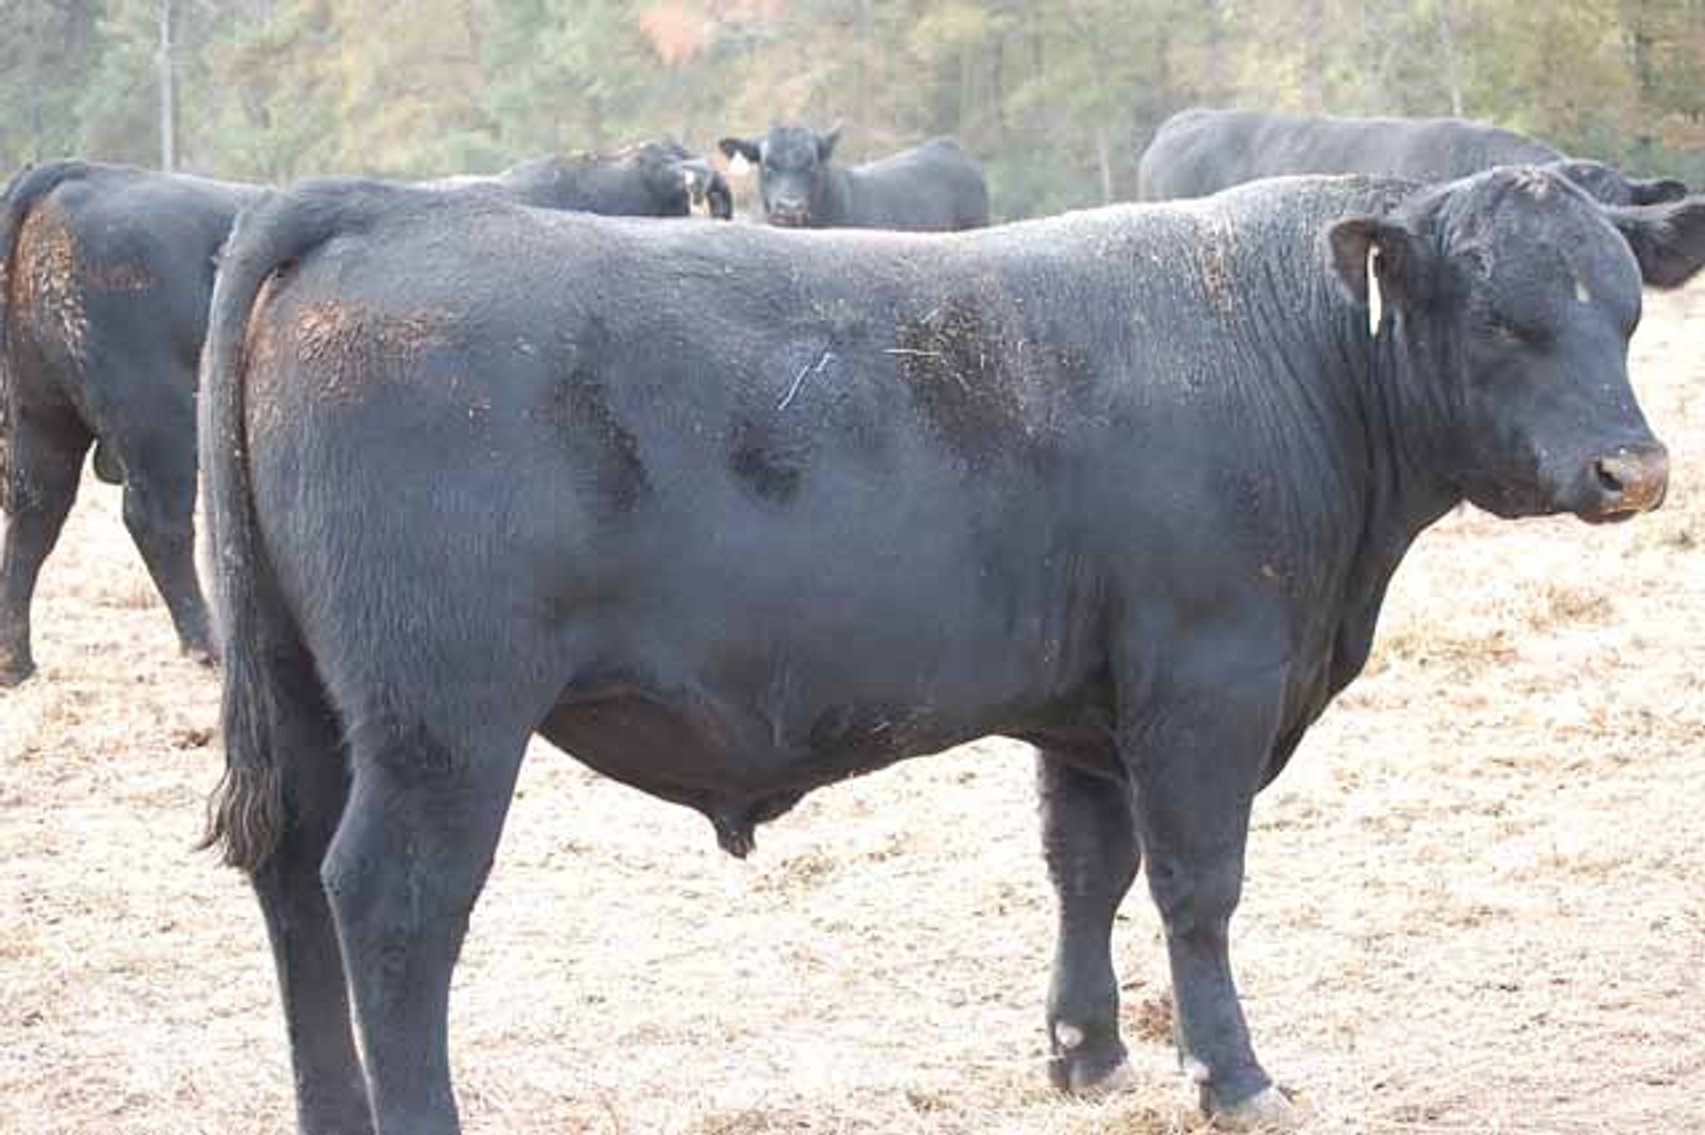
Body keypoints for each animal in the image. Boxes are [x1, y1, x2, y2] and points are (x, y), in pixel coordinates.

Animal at [0, 142, 730, 685]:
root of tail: (85, 171)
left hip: (45, 415)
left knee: (35, 515)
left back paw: (17, 659)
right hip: (151, 419)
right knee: (153, 521)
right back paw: (206, 642)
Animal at [198, 168, 1705, 1134]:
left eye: (1626, 309)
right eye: (1505, 319)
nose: (1632, 467)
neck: (1293, 351)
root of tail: (378, 206)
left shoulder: (1092, 705)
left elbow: (1087, 867)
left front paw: (1085, 1051)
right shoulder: (1205, 682)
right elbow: (1196, 886)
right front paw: (1231, 1076)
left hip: (308, 701)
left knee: (289, 886)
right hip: (442, 721)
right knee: (389, 904)